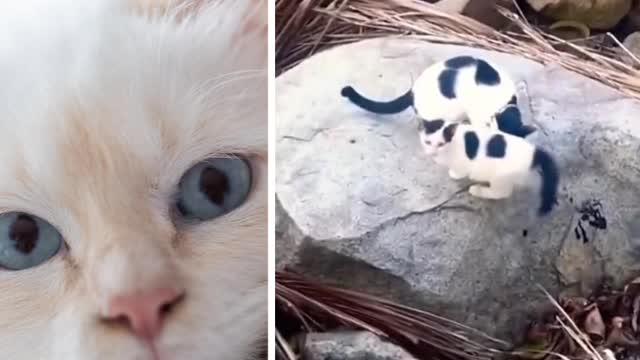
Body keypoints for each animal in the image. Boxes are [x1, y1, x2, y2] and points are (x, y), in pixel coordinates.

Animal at [418, 119, 556, 217]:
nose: (432, 153)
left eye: (441, 144)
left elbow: (460, 171)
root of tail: (534, 152)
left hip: (500, 176)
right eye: (427, 142)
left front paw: (454, 174)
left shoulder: (463, 163)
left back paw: (477, 190)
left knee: (501, 193)